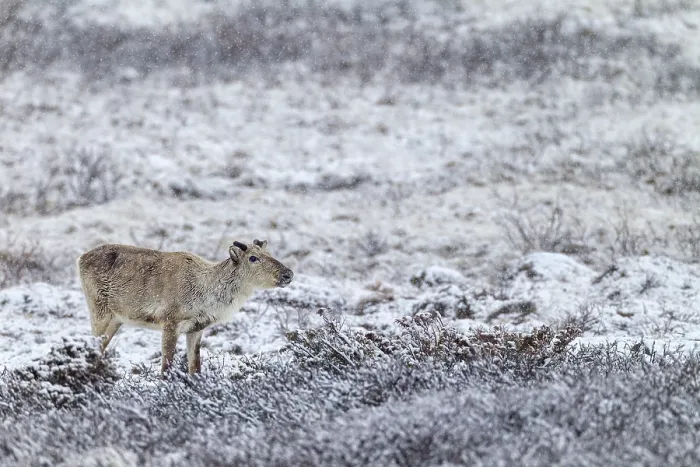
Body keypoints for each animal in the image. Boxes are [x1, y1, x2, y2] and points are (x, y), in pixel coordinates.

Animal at [77, 239, 293, 375]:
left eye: (269, 253)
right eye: (253, 258)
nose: (288, 273)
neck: (205, 295)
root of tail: (80, 258)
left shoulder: (196, 328)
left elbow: (195, 369)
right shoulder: (170, 322)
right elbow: (166, 369)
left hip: (116, 320)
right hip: (98, 311)